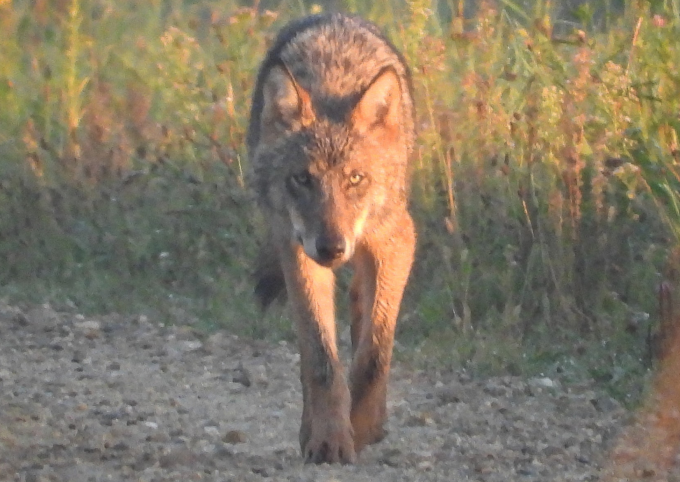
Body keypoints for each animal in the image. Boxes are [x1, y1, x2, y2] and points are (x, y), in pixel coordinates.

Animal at [247, 14, 418, 464]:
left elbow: (375, 353)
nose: (332, 247)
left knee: (361, 309)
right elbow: (322, 359)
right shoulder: (298, 253)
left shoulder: (397, 241)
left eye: (354, 179)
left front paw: (364, 425)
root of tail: (335, 16)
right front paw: (329, 437)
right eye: (302, 179)